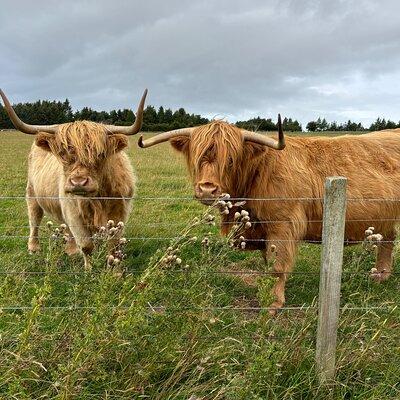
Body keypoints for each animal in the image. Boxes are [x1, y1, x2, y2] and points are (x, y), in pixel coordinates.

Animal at [0, 89, 147, 268]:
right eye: (62, 153)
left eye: (100, 154)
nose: (78, 183)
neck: (97, 199)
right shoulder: (73, 212)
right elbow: (86, 246)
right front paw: (89, 270)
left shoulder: (119, 211)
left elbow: (113, 245)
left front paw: (115, 270)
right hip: (32, 194)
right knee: (34, 219)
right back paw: (34, 248)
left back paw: (70, 250)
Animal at [138, 117, 400, 314]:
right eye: (197, 157)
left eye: (230, 160)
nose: (207, 189)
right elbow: (267, 262)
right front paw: (265, 291)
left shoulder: (283, 225)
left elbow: (277, 265)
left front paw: (273, 304)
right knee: (388, 239)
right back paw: (381, 276)